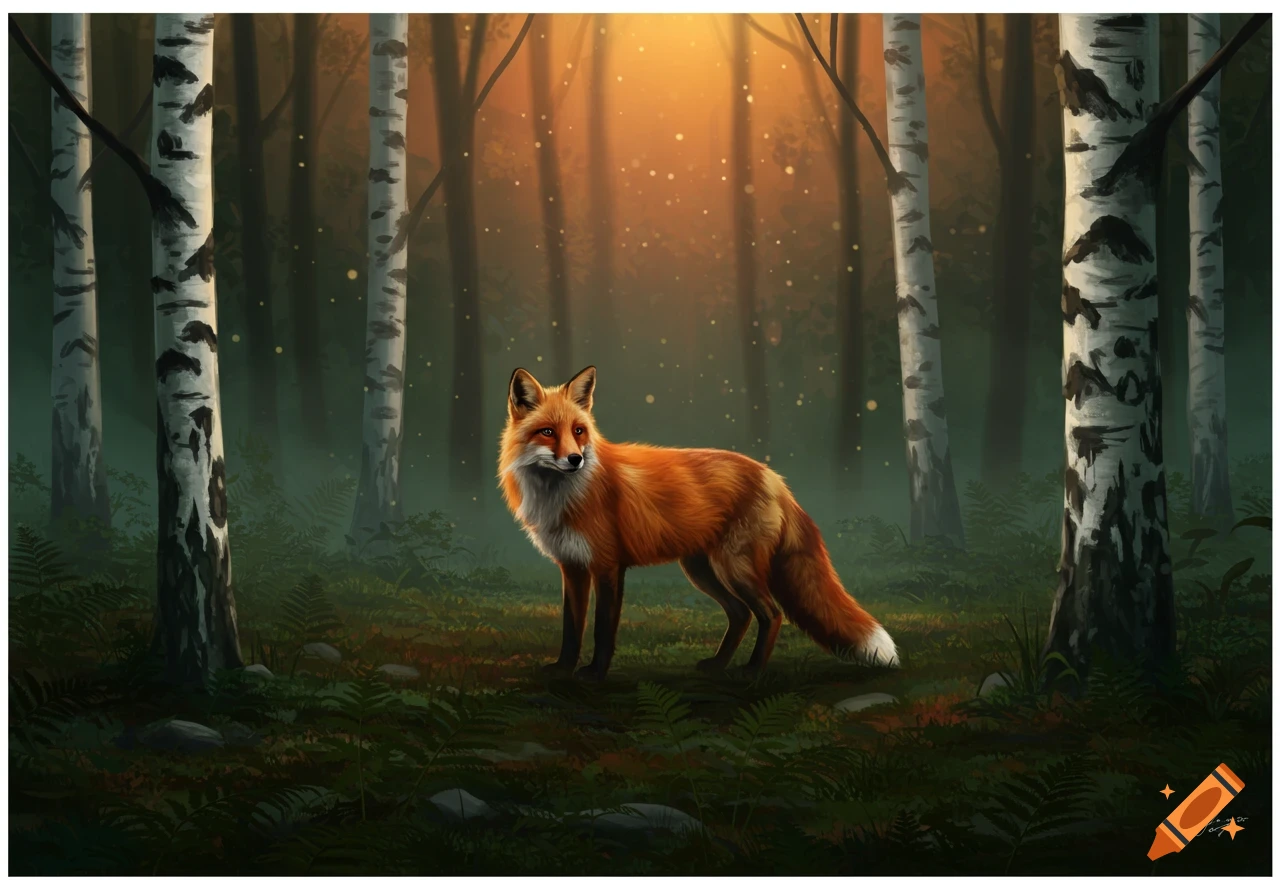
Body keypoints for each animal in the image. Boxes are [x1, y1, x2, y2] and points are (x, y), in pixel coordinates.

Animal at [498, 365, 899, 681]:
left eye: (579, 431)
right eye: (548, 432)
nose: (576, 459)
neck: (563, 496)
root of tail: (772, 476)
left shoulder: (608, 566)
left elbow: (601, 629)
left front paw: (595, 674)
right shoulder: (573, 567)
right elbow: (571, 627)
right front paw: (563, 669)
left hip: (735, 567)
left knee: (771, 614)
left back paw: (752, 671)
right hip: (702, 570)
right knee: (740, 614)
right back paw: (718, 664)